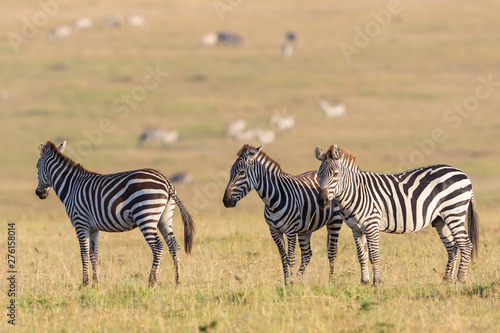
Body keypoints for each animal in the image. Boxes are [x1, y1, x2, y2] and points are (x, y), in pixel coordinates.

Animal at [35, 139, 194, 286]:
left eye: (36, 167)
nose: (39, 194)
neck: (72, 187)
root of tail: (166, 181)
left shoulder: (80, 223)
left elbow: (84, 253)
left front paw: (85, 283)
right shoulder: (93, 228)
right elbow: (93, 254)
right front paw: (96, 282)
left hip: (145, 216)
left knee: (158, 247)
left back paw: (151, 281)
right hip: (164, 218)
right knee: (174, 246)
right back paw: (177, 281)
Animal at [224, 144, 344, 284]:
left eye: (241, 173)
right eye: (230, 172)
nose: (225, 201)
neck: (272, 201)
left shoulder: (290, 231)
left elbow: (290, 258)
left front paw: (291, 285)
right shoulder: (274, 231)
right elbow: (283, 257)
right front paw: (287, 284)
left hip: (335, 221)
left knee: (332, 252)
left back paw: (331, 282)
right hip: (305, 229)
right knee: (307, 253)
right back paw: (301, 282)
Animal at [314, 145, 478, 286]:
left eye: (335, 174)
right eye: (319, 175)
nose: (322, 201)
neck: (356, 192)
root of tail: (463, 174)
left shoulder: (371, 225)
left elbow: (374, 255)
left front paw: (377, 282)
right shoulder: (356, 228)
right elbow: (362, 256)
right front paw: (365, 282)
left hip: (454, 212)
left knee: (465, 245)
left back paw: (460, 280)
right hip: (440, 219)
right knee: (453, 247)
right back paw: (446, 280)